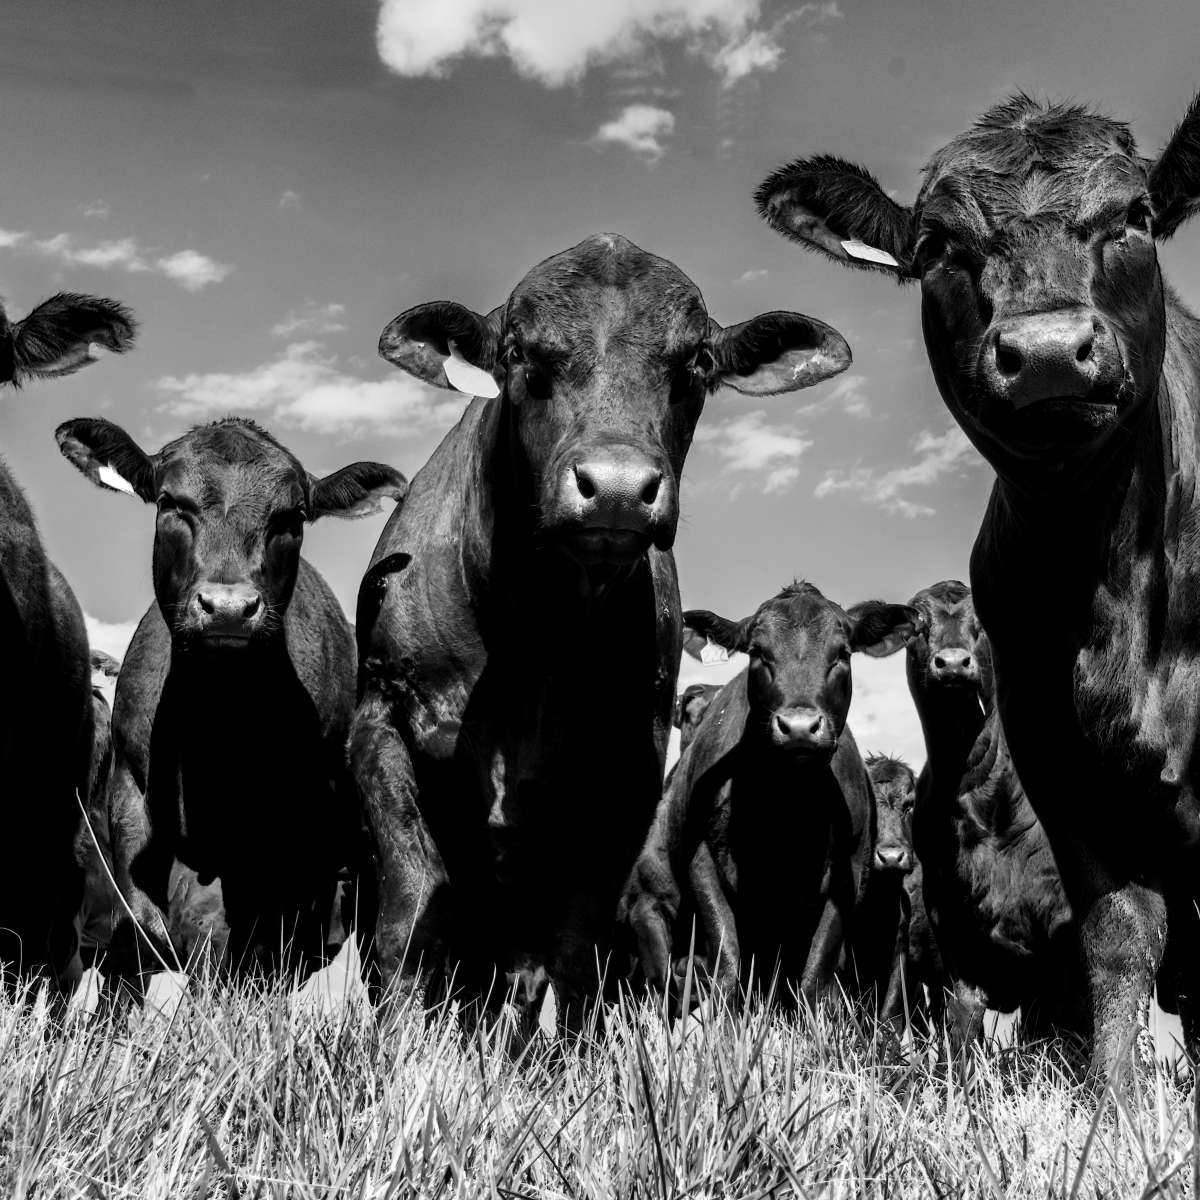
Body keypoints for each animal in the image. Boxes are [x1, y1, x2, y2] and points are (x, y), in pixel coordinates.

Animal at [54, 416, 407, 984]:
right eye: (170, 502)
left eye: (292, 515)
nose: (227, 608)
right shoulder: (130, 801)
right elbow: (147, 931)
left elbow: (255, 950)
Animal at [352, 232, 853, 1029]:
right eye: (519, 353)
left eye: (697, 361)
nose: (616, 487)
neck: (537, 633)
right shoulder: (382, 722)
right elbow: (413, 909)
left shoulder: (625, 775)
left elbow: (571, 945)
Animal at [621, 583, 922, 1011]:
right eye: (758, 652)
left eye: (842, 654)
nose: (798, 727)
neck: (784, 805)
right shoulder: (702, 863)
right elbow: (727, 965)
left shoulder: (846, 875)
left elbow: (814, 977)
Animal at [754, 91, 1200, 1079]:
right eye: (937, 247)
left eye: (1135, 215)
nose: (1048, 351)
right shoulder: (1062, 774)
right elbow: (1120, 940)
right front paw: (1118, 1108)